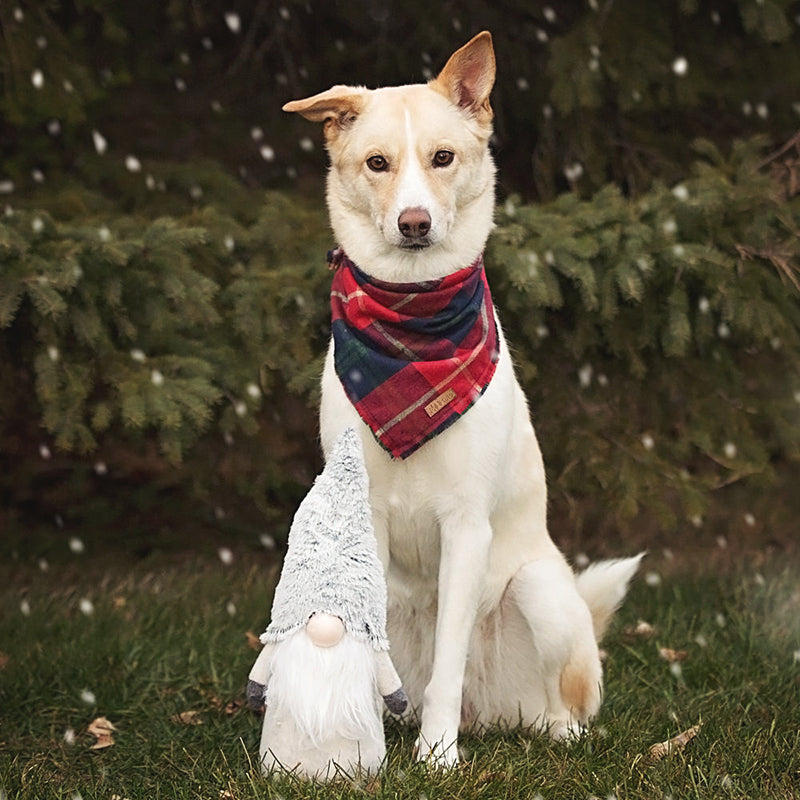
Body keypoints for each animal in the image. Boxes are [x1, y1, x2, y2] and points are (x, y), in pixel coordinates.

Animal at [284, 31, 640, 764]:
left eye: (443, 157)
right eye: (377, 163)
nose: (414, 223)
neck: (413, 322)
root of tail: (489, 714)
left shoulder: (466, 524)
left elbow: (449, 659)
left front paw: (438, 758)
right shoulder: (363, 516)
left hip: (541, 591)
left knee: (565, 702)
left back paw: (549, 730)